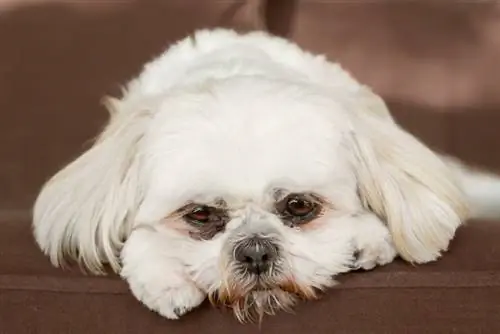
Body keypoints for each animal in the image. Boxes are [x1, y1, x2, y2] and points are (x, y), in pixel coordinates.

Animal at [31, 29, 500, 324]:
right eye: (200, 215)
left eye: (299, 205)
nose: (255, 251)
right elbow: (140, 240)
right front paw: (167, 282)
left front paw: (366, 240)